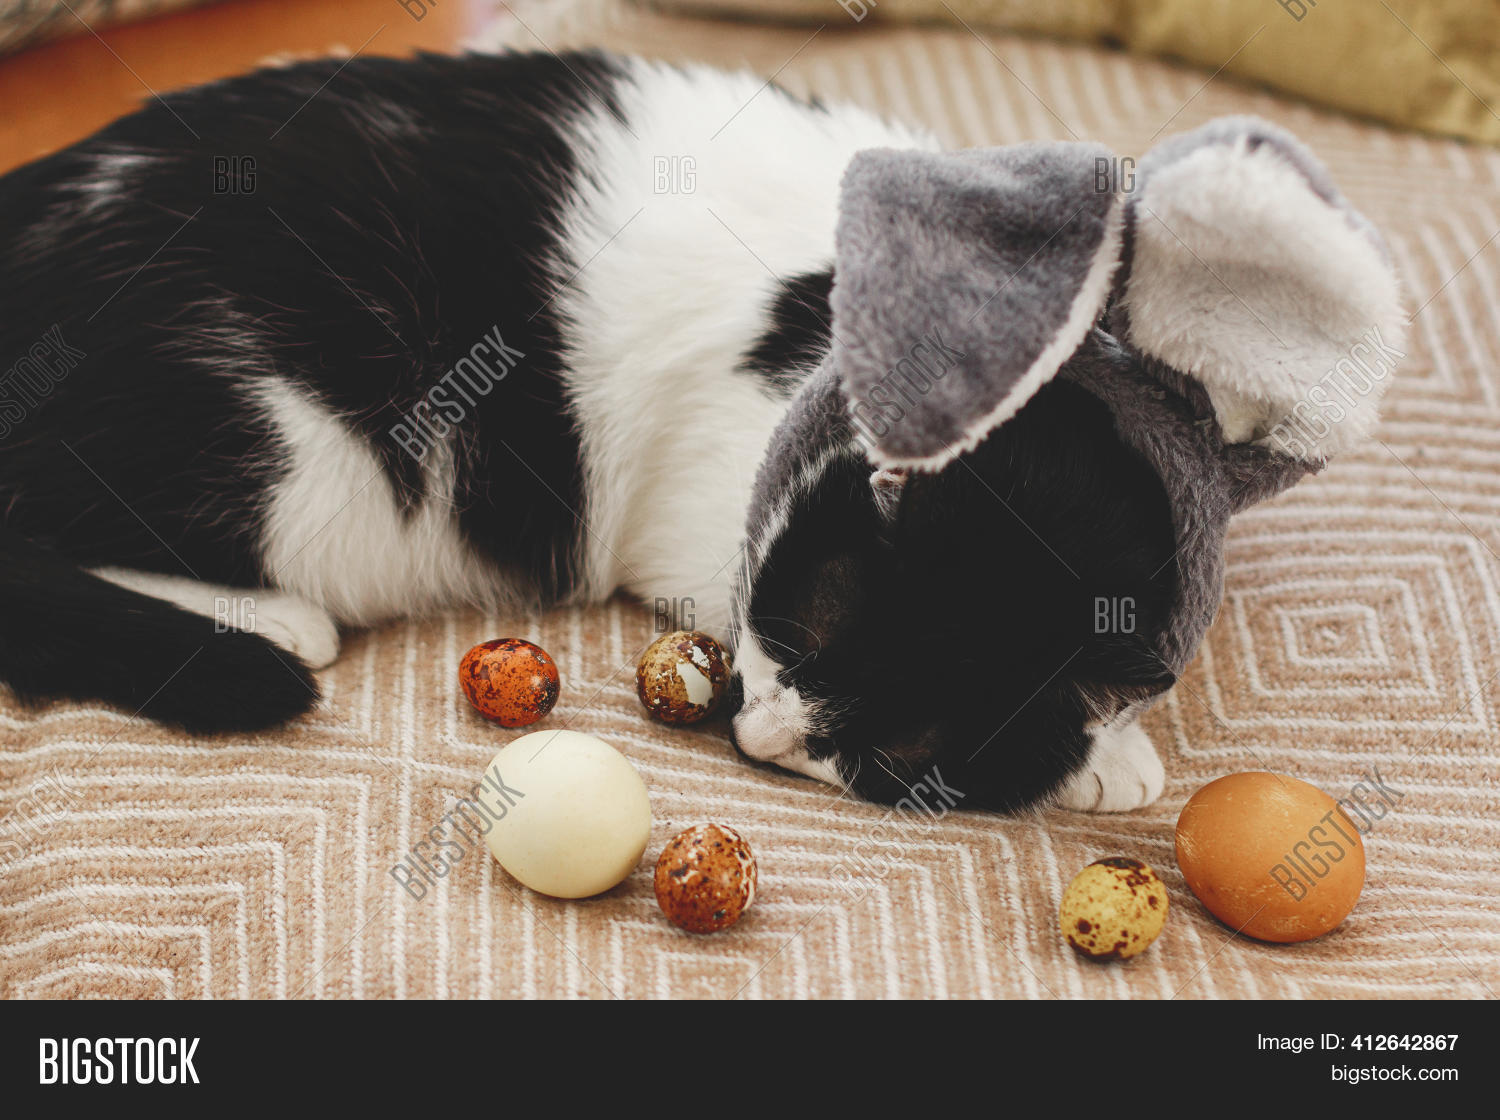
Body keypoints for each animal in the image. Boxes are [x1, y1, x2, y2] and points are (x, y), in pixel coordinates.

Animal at [0, 50, 1404, 811]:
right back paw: (269, 621)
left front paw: (1106, 748)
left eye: (901, 746)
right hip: (291, 452)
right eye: (813, 629)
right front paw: (1112, 759)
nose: (765, 740)